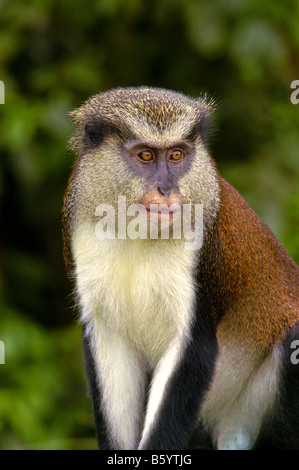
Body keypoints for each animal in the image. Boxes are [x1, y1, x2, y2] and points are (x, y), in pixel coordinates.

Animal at [62, 86, 299, 450]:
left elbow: (193, 351)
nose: (166, 190)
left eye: (176, 155)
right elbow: (110, 346)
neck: (137, 233)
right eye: (146, 156)